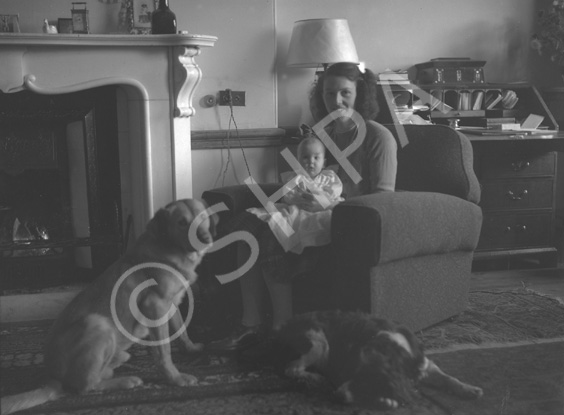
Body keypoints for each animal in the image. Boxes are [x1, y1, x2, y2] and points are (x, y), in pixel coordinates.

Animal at [0, 200, 216, 414]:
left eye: (203, 217)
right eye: (181, 222)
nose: (206, 238)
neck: (170, 249)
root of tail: (52, 380)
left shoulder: (171, 304)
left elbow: (182, 330)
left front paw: (191, 349)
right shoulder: (155, 306)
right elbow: (164, 352)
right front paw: (176, 378)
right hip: (97, 323)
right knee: (86, 386)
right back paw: (125, 381)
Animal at [276, 312, 482, 410]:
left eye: (368, 382)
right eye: (349, 371)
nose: (337, 396)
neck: (392, 346)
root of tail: (282, 327)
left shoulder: (423, 365)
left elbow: (448, 378)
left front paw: (468, 389)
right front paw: (385, 401)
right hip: (319, 342)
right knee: (291, 368)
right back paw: (318, 379)